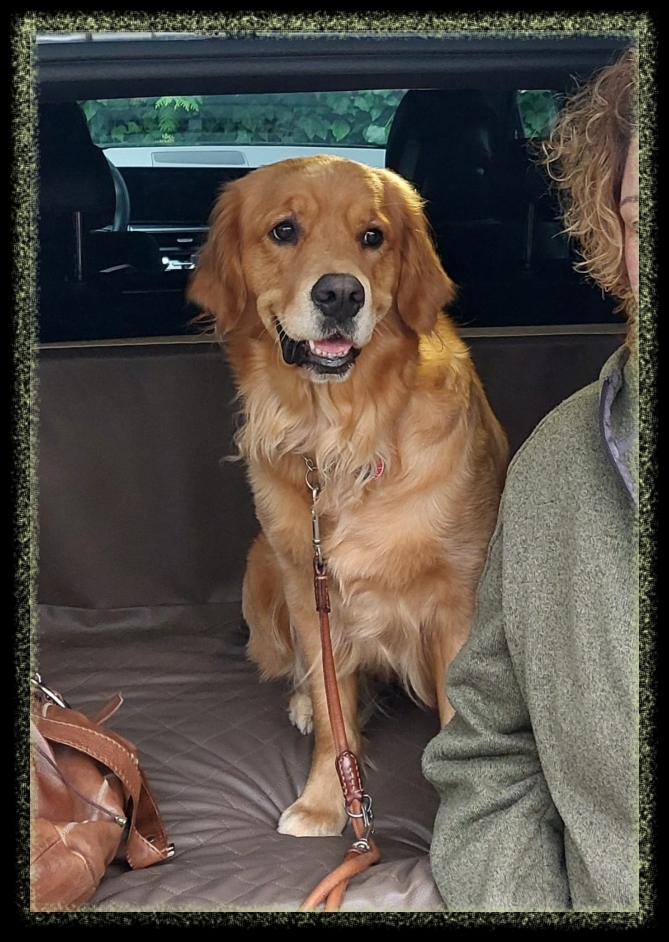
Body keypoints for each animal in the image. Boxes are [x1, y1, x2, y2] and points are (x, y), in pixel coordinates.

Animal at [188, 155, 508, 838]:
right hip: (262, 568)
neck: (343, 436)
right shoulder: (310, 593)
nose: (340, 293)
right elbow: (335, 715)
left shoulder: (458, 600)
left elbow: (459, 725)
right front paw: (325, 802)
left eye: (373, 236)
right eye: (284, 230)